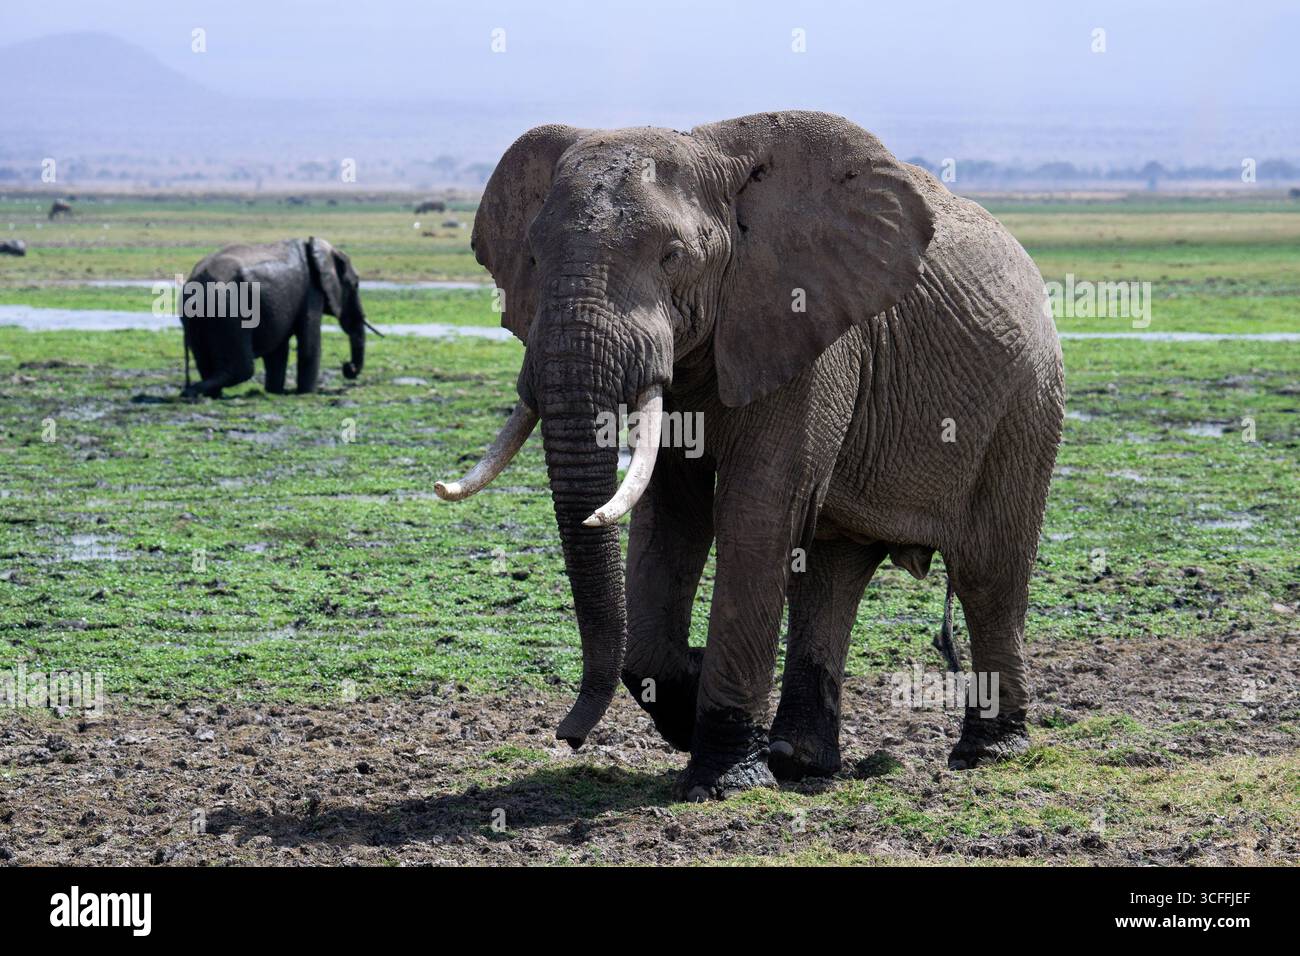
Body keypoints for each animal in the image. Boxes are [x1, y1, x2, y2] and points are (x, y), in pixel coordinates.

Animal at [180, 237, 378, 398]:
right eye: (355, 284)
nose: (348, 367)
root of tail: (196, 279)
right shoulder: (311, 291)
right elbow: (309, 343)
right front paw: (306, 393)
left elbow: (278, 351)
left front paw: (275, 392)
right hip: (227, 310)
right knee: (242, 369)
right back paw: (191, 392)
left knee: (206, 363)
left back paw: (204, 394)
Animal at [437, 111, 1064, 800]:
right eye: (531, 256)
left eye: (672, 257)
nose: (568, 736)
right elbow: (670, 512)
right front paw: (693, 702)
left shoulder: (809, 331)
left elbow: (756, 511)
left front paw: (722, 777)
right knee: (830, 573)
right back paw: (800, 759)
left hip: (1027, 401)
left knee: (987, 569)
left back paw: (988, 750)